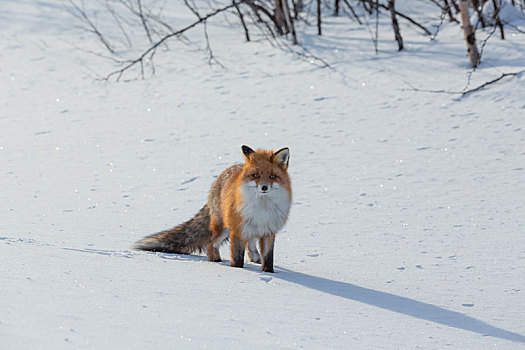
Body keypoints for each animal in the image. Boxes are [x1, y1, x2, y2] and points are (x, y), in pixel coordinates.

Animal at [133, 146, 290, 274]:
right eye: (256, 175)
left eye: (272, 176)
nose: (264, 187)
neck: (262, 210)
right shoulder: (237, 231)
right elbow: (237, 260)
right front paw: (238, 271)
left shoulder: (269, 232)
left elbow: (268, 260)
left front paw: (269, 274)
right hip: (224, 228)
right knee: (211, 244)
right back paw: (216, 262)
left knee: (249, 246)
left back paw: (255, 260)